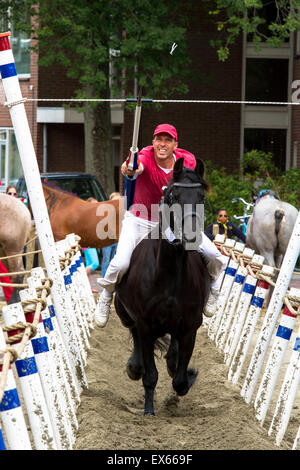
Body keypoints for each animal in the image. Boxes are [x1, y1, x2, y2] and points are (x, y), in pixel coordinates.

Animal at [115, 158, 211, 414]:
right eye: (173, 195)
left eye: (201, 195)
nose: (191, 235)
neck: (169, 274)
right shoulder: (145, 324)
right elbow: (150, 374)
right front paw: (148, 409)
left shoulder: (190, 326)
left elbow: (179, 379)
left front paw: (185, 375)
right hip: (125, 313)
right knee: (133, 334)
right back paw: (134, 366)